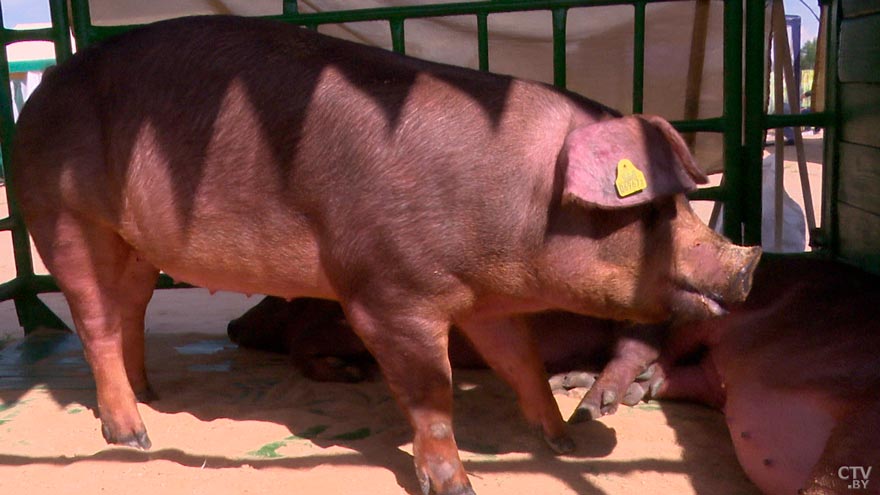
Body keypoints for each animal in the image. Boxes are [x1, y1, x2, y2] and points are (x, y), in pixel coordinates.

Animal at [10, 14, 760, 495]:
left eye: (681, 199)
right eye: (652, 210)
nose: (750, 261)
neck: (512, 196)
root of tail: (43, 85)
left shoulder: (486, 302)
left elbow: (521, 363)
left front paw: (565, 442)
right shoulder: (389, 294)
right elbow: (431, 392)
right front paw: (457, 486)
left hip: (132, 241)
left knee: (130, 307)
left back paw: (153, 396)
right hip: (58, 212)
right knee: (94, 319)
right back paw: (131, 434)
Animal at [229, 258, 880, 494]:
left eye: (270, 298)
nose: (234, 323)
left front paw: (350, 371)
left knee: (640, 351)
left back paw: (594, 402)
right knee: (670, 370)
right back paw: (598, 394)